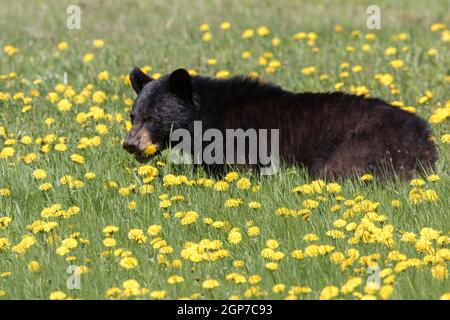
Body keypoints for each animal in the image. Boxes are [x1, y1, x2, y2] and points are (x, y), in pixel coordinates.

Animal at [123, 68, 436, 179]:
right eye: (133, 115)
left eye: (153, 117)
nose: (129, 144)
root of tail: (426, 140)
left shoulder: (239, 142)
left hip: (365, 146)